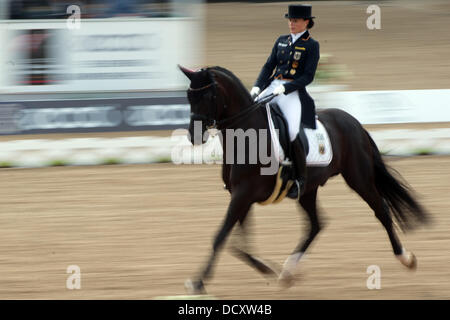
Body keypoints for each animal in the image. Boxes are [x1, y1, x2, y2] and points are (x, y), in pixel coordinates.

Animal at [178, 65, 428, 296]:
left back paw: (406, 258)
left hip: (359, 179)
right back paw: (287, 272)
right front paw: (270, 270)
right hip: (308, 189)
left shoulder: (243, 195)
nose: (194, 136)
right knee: (316, 224)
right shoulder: (241, 196)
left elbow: (221, 237)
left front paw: (198, 283)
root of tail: (354, 123)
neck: (246, 136)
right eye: (189, 96)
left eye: (208, 96)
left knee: (381, 211)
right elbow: (238, 244)